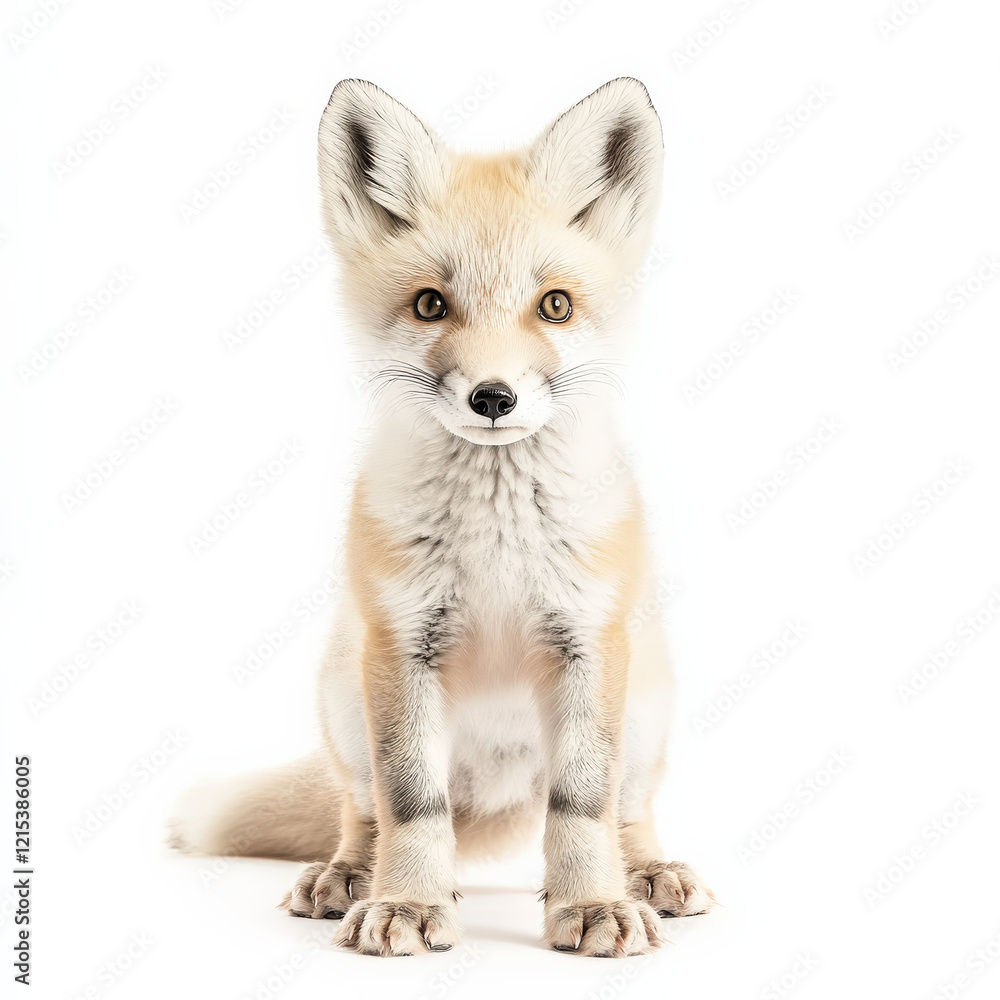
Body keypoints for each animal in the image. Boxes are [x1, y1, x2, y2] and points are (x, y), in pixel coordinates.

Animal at [171, 76, 714, 958]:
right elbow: (412, 807)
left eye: (554, 305)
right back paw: (351, 875)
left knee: (626, 811)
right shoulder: (401, 644)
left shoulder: (588, 642)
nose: (493, 398)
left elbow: (582, 808)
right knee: (363, 812)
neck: (497, 543)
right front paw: (411, 902)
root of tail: (498, 794)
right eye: (430, 304)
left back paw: (645, 875)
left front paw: (590, 902)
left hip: (647, 703)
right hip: (343, 694)